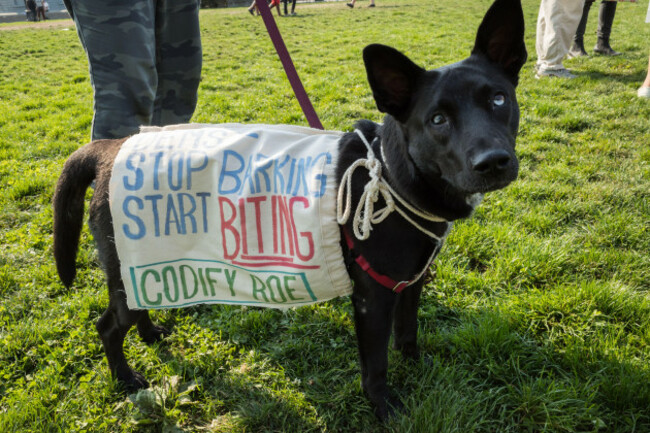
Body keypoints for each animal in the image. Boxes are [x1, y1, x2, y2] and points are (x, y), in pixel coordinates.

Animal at [53, 0, 524, 420]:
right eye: (438, 120)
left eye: (499, 100)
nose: (493, 162)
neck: (389, 174)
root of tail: (113, 148)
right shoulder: (373, 298)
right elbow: (376, 366)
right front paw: (386, 410)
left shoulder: (411, 281)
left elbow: (408, 335)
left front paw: (418, 368)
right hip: (126, 265)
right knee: (108, 326)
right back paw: (124, 378)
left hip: (143, 263)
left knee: (139, 305)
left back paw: (151, 334)